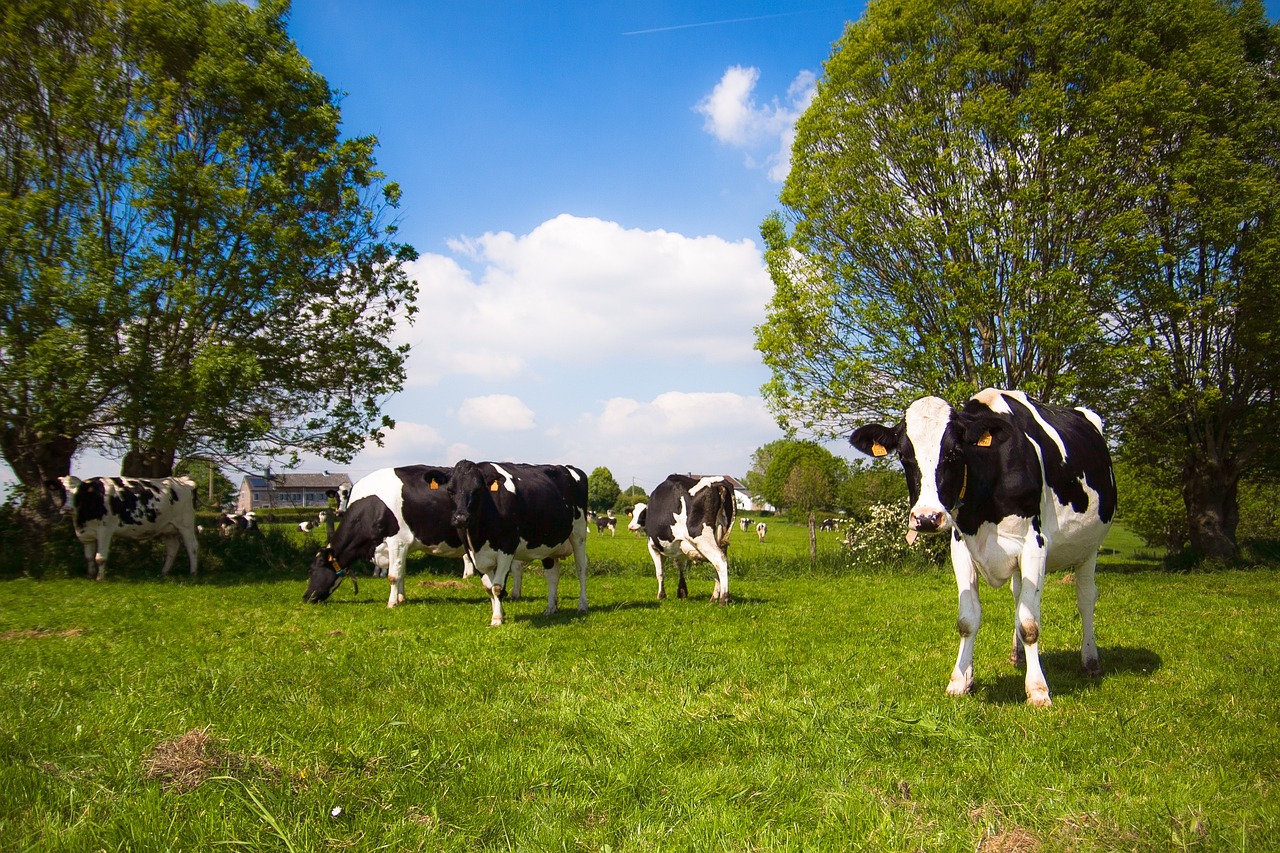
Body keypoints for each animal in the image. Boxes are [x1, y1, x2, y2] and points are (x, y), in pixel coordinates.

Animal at [47, 471, 199, 578]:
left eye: (79, 492)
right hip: (167, 528)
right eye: (61, 491)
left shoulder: (105, 530)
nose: (67, 509)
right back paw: (164, 572)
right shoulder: (87, 534)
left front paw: (100, 578)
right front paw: (90, 575)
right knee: (173, 548)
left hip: (185, 524)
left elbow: (100, 557)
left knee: (192, 547)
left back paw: (193, 573)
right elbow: (89, 557)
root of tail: (183, 480)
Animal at [302, 466, 468, 604]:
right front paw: (401, 599)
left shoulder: (397, 541)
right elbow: (401, 572)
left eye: (310, 570)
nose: (305, 597)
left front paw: (392, 603)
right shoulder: (401, 546)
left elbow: (393, 575)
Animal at [442, 458, 586, 625]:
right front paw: (499, 613)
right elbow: (488, 587)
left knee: (581, 569)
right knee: (552, 575)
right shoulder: (472, 552)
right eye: (450, 490)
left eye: (478, 490)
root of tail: (568, 467)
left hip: (579, 534)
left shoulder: (507, 547)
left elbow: (497, 586)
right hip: (550, 543)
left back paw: (582, 605)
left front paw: (497, 619)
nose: (461, 518)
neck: (478, 537)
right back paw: (550, 608)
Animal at [627, 471, 737, 604]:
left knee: (720, 561)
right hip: (721, 539)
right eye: (632, 514)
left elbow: (660, 573)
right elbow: (681, 567)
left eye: (641, 515)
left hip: (702, 539)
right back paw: (714, 597)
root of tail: (717, 481)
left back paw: (723, 599)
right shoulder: (680, 545)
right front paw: (682, 591)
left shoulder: (653, 547)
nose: (630, 526)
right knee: (719, 565)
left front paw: (661, 595)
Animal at [849, 386, 1121, 701]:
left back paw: (1090, 660)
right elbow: (968, 620)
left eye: (955, 453)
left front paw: (1038, 690)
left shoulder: (1035, 545)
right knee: (1018, 597)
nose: (927, 518)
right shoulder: (961, 547)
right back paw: (1018, 656)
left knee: (1085, 599)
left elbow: (1030, 623)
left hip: (1089, 548)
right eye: (904, 456)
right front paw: (960, 680)